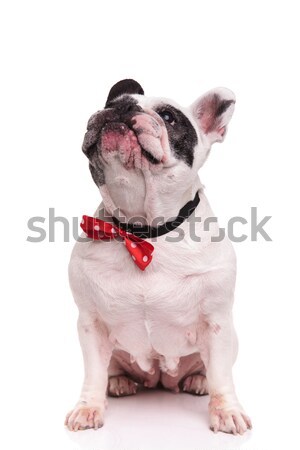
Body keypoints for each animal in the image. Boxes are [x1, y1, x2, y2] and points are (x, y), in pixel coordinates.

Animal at [65, 79, 251, 434]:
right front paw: (88, 408)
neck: (144, 231)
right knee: (111, 369)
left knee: (208, 369)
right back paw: (119, 382)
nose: (123, 108)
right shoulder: (90, 324)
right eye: (111, 103)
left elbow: (222, 375)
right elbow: (93, 372)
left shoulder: (218, 325)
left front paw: (226, 411)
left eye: (167, 116)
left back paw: (198, 380)